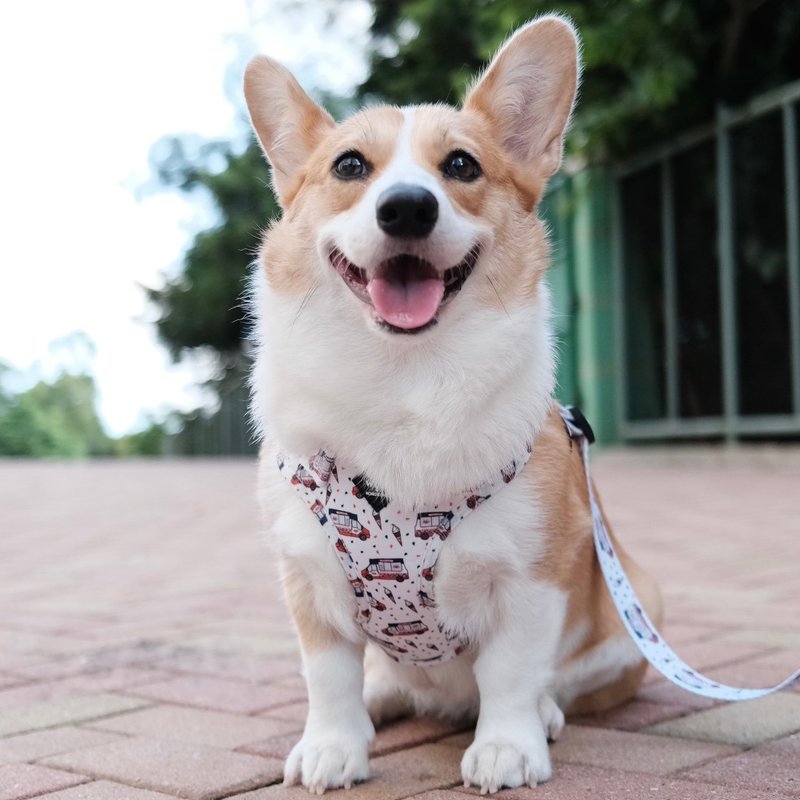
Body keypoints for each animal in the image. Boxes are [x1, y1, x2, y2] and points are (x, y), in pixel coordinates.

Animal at [244, 15, 664, 796]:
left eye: (463, 166)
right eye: (350, 166)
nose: (407, 206)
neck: (404, 378)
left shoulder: (530, 578)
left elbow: (512, 673)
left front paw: (506, 748)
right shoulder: (308, 579)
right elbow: (329, 678)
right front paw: (332, 748)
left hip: (636, 613)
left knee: (555, 684)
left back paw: (545, 717)